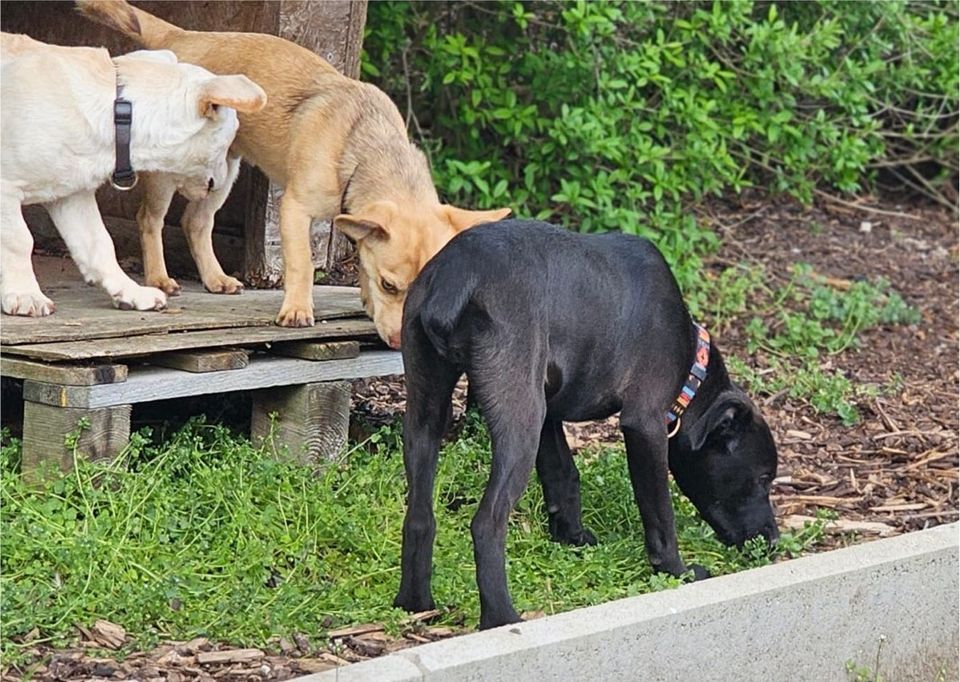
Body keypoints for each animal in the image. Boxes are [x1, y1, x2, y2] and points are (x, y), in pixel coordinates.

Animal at [0, 32, 266, 316]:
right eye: (230, 139)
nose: (225, 182)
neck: (117, 113)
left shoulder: (70, 195)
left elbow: (99, 244)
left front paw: (130, 292)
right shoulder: (6, 190)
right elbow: (19, 240)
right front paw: (26, 295)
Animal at [77, 1, 510, 346]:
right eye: (391, 285)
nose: (402, 343)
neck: (363, 148)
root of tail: (186, 35)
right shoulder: (295, 211)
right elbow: (300, 265)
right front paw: (299, 310)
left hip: (223, 173)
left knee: (195, 223)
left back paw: (216, 278)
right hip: (171, 175)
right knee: (150, 219)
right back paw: (160, 278)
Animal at [394, 220, 776, 628]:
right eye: (763, 478)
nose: (774, 542)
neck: (691, 364)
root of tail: (455, 278)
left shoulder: (550, 414)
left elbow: (563, 475)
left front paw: (571, 537)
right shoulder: (644, 425)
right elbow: (660, 512)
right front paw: (677, 571)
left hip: (427, 413)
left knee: (419, 516)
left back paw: (414, 603)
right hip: (519, 424)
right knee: (486, 523)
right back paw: (502, 617)